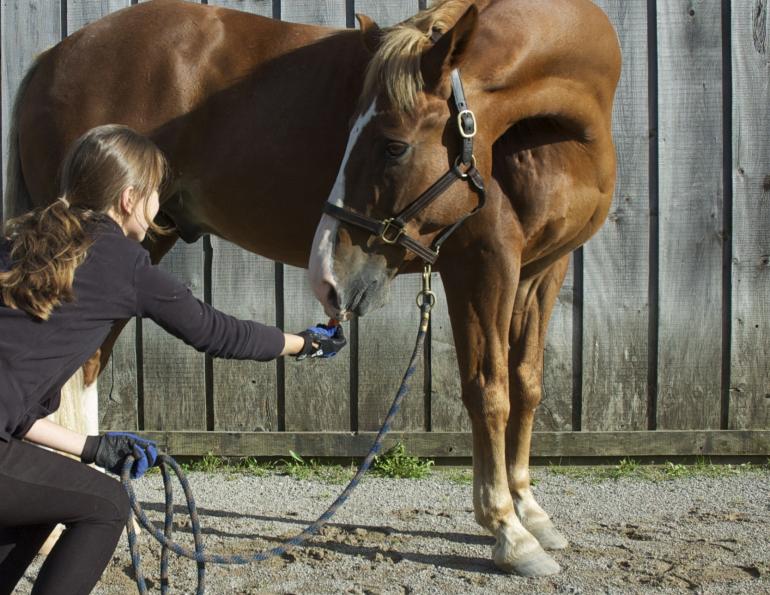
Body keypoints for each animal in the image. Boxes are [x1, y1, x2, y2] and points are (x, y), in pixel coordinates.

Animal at [4, 0, 620, 576]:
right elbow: (488, 389)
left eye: (393, 145)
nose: (325, 274)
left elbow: (528, 384)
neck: (550, 135)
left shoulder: (542, 271)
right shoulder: (482, 264)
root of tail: (53, 58)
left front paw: (532, 513)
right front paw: (508, 532)